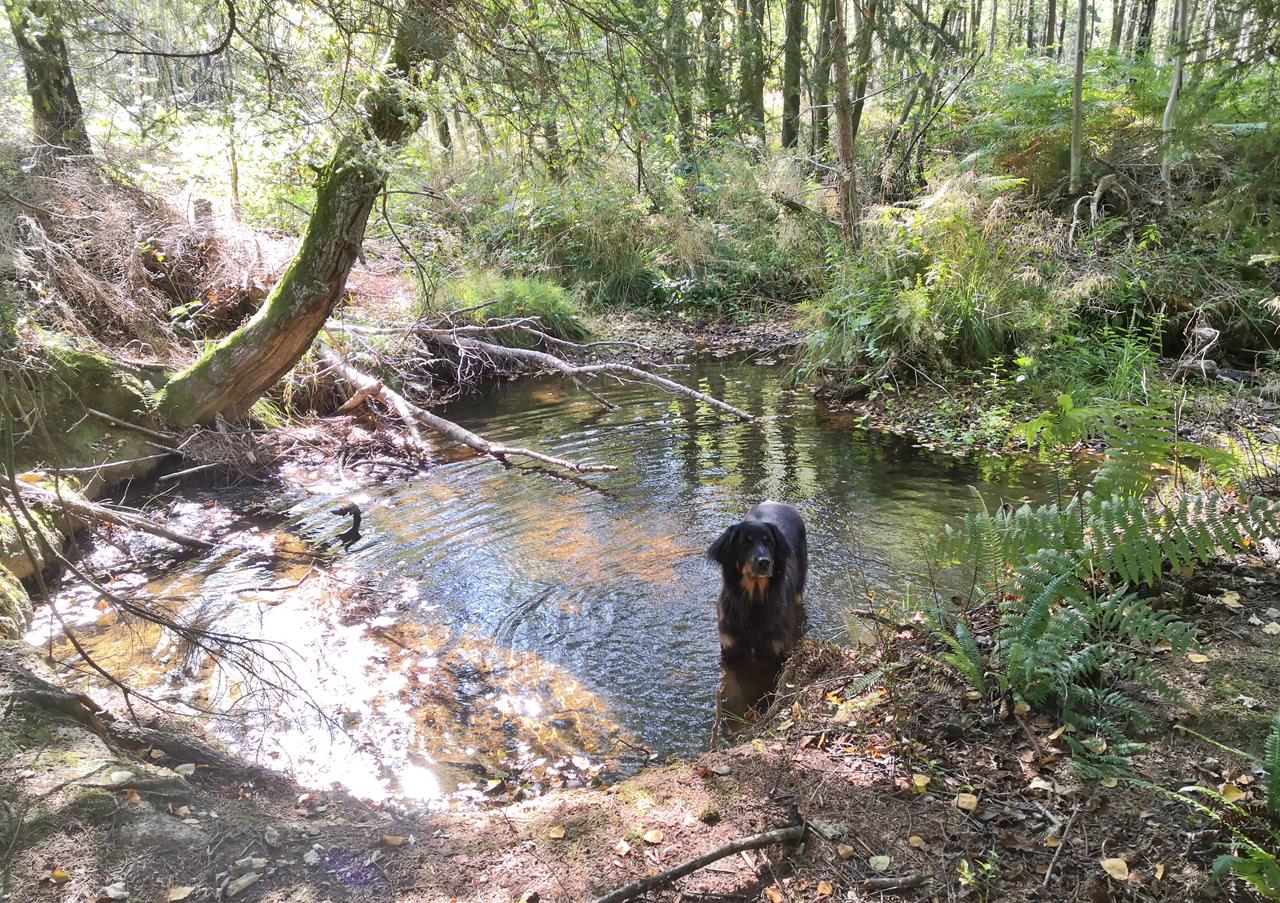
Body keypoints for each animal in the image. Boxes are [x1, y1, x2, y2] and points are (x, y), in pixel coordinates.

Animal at [707, 501, 807, 665]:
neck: (754, 598)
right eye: (744, 543)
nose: (764, 562)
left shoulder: (779, 649)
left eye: (769, 542)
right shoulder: (729, 648)